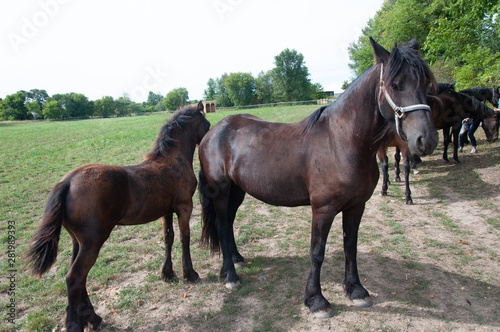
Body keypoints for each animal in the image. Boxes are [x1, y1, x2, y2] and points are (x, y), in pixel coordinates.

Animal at [26, 103, 210, 332]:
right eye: (206, 123)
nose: (209, 135)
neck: (172, 160)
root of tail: (67, 182)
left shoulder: (166, 211)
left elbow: (169, 238)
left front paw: (168, 273)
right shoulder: (184, 206)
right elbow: (185, 238)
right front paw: (190, 274)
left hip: (78, 242)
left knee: (77, 277)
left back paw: (92, 318)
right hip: (93, 242)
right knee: (75, 278)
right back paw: (76, 323)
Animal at [198, 38, 438, 320]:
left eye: (425, 83)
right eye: (396, 84)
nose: (426, 140)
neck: (341, 141)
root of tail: (214, 131)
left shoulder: (357, 206)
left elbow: (350, 246)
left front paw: (356, 290)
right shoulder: (323, 209)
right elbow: (317, 253)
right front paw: (316, 300)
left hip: (237, 191)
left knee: (229, 223)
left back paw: (236, 260)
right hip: (221, 191)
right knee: (223, 226)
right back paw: (231, 276)